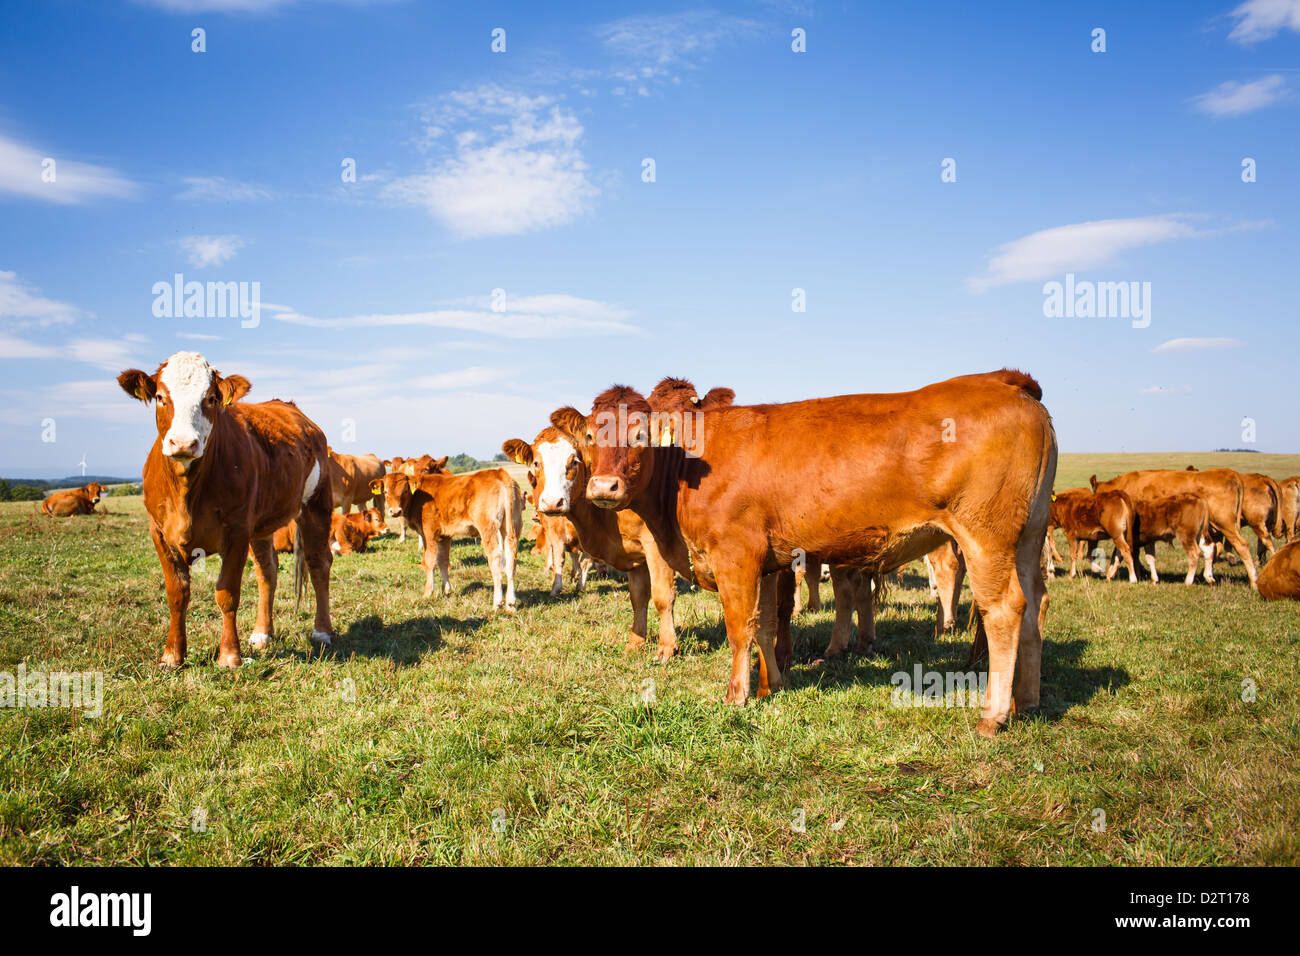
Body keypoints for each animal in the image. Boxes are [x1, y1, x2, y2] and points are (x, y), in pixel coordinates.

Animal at [116, 351, 335, 668]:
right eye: (159, 397)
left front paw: (230, 655)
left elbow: (227, 593)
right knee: (267, 571)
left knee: (319, 563)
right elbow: (177, 593)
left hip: (316, 504)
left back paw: (322, 631)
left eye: (210, 398)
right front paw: (172, 655)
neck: (186, 493)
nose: (183, 443)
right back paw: (262, 634)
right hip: (262, 524)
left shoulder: (237, 531)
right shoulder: (159, 532)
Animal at [372, 468, 522, 608]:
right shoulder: (445, 535)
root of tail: (499, 472)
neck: (418, 496)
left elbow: (429, 561)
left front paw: (428, 592)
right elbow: (443, 560)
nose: (395, 511)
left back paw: (497, 602)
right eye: (386, 492)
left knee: (495, 557)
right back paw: (511, 603)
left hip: (488, 528)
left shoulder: (429, 533)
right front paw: (446, 591)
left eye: (405, 491)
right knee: (510, 557)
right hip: (510, 527)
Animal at [557, 369, 1056, 736]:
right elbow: (764, 626)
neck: (687, 466)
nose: (604, 488)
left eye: (640, 435)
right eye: (590, 437)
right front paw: (772, 685)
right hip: (1027, 538)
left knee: (1004, 610)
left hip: (986, 537)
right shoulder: (763, 563)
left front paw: (736, 695)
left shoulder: (735, 555)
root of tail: (1005, 380)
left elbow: (739, 627)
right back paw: (1027, 701)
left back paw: (994, 715)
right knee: (1034, 604)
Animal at [1091, 468, 1257, 588]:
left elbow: (1123, 553)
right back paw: (1207, 576)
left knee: (1240, 546)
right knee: (1212, 549)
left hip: (1224, 525)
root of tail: (1230, 473)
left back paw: (1253, 581)